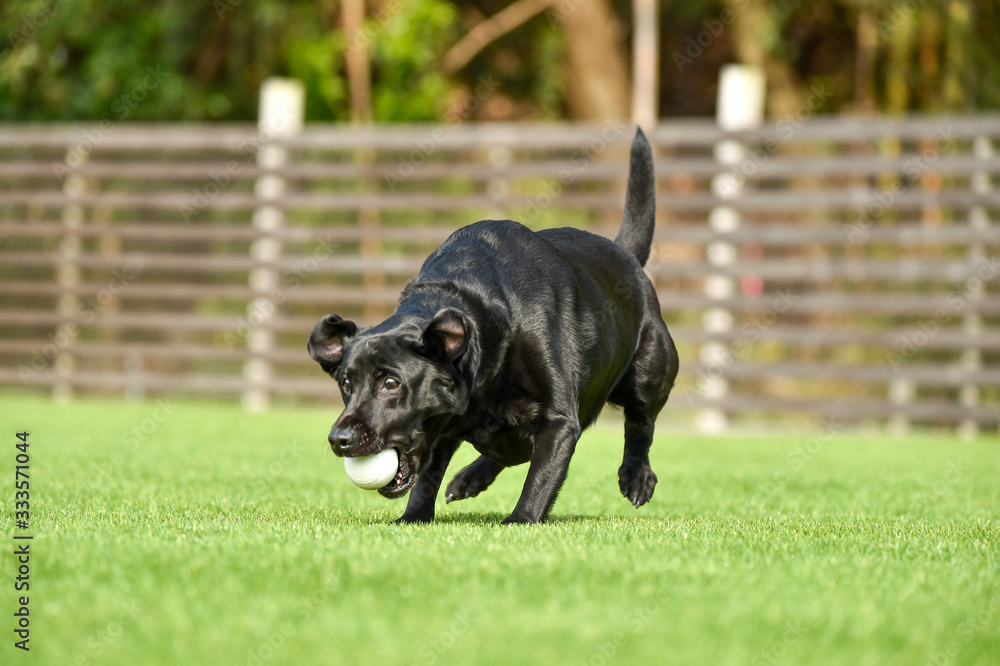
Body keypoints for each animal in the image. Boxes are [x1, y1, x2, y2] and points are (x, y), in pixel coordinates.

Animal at [307, 128, 678, 524]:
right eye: (346, 385)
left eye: (391, 384)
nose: (339, 438)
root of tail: (627, 256)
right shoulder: (445, 430)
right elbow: (427, 478)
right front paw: (414, 517)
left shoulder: (559, 420)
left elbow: (542, 475)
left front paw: (521, 519)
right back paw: (470, 478)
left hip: (649, 371)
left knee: (640, 424)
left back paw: (636, 477)